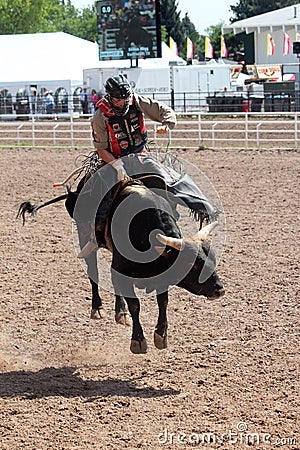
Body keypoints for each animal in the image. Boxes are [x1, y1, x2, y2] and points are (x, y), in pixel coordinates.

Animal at [17, 178, 224, 354]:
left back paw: (119, 311)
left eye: (212, 259)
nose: (219, 290)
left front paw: (160, 335)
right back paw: (98, 307)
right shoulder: (122, 268)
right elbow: (135, 305)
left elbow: (162, 302)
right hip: (86, 240)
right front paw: (138, 340)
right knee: (94, 272)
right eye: (191, 263)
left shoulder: (159, 274)